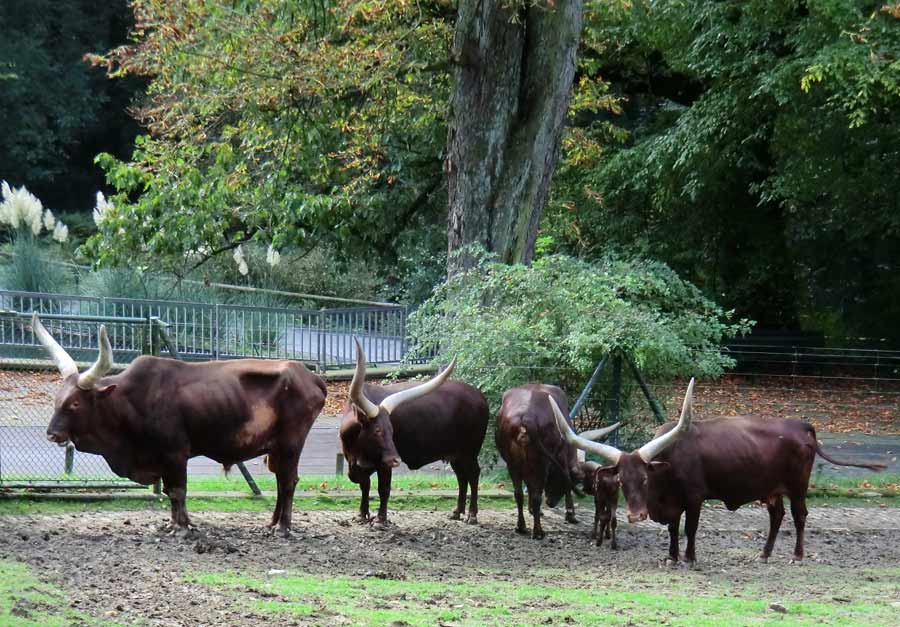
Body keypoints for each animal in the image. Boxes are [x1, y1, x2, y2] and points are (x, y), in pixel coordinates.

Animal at [32, 314, 326, 536]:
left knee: (288, 481)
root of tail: (309, 376)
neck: (129, 401)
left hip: (291, 444)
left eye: (74, 404)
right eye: (57, 399)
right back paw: (272, 523)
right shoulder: (162, 459)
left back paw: (283, 528)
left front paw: (182, 527)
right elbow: (171, 492)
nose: (52, 434)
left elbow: (177, 491)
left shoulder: (175, 454)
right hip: (276, 449)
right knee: (279, 479)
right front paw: (174, 523)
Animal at [340, 338, 492, 524]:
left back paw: (472, 515)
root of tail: (480, 396)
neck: (355, 448)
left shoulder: (383, 464)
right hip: (455, 454)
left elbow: (383, 488)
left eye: (392, 431)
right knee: (462, 477)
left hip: (470, 451)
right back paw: (457, 512)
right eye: (377, 430)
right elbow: (365, 486)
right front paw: (362, 515)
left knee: (473, 475)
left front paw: (380, 520)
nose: (396, 460)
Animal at [492, 386, 620, 544]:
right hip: (541, 463)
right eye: (576, 481)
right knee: (536, 496)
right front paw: (570, 514)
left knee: (519, 494)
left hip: (513, 464)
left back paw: (521, 526)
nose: (551, 502)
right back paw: (538, 532)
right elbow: (565, 483)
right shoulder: (561, 459)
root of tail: (526, 417)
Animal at [548, 380, 884, 568]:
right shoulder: (672, 504)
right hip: (771, 489)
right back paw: (764, 554)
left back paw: (797, 556)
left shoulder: (694, 498)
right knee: (777, 517)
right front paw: (672, 556)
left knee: (800, 516)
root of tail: (802, 426)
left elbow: (690, 529)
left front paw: (689, 558)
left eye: (644, 479)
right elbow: (673, 530)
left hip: (798, 486)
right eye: (621, 481)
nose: (635, 515)